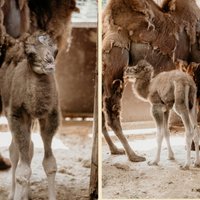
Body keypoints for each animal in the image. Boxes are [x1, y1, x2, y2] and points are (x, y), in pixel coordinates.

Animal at [0, 30, 59, 198]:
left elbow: (50, 163)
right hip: (8, 111)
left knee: (29, 147)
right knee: (14, 152)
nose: (49, 61)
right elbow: (22, 170)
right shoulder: (17, 115)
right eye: (31, 53)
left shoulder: (50, 116)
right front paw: (16, 195)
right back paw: (12, 194)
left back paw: (27, 194)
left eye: (55, 50)